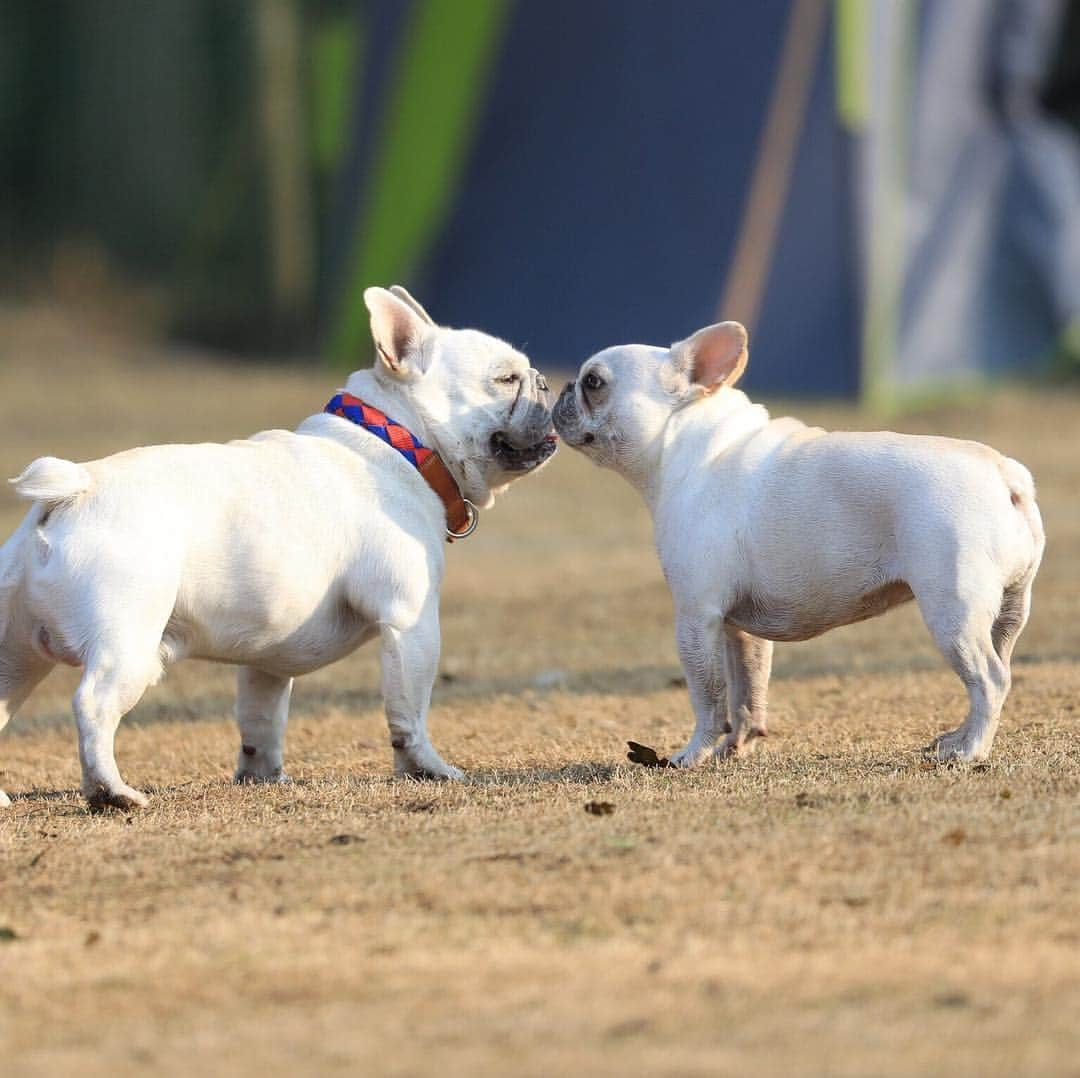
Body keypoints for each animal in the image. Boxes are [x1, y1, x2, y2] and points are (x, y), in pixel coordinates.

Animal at [0, 287, 557, 812]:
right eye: (506, 379)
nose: (546, 382)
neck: (399, 442)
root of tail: (72, 490)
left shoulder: (266, 657)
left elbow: (261, 718)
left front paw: (261, 775)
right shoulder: (411, 623)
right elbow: (410, 710)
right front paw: (427, 769)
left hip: (15, 652)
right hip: (127, 642)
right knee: (93, 705)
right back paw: (111, 792)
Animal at [552, 319, 1041, 769]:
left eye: (593, 382)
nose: (562, 389)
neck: (686, 447)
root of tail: (1005, 473)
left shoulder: (696, 616)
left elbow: (708, 697)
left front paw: (692, 755)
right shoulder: (737, 629)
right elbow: (746, 692)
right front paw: (735, 748)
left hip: (952, 610)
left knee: (989, 680)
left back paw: (971, 751)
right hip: (1008, 611)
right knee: (1001, 669)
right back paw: (958, 737)